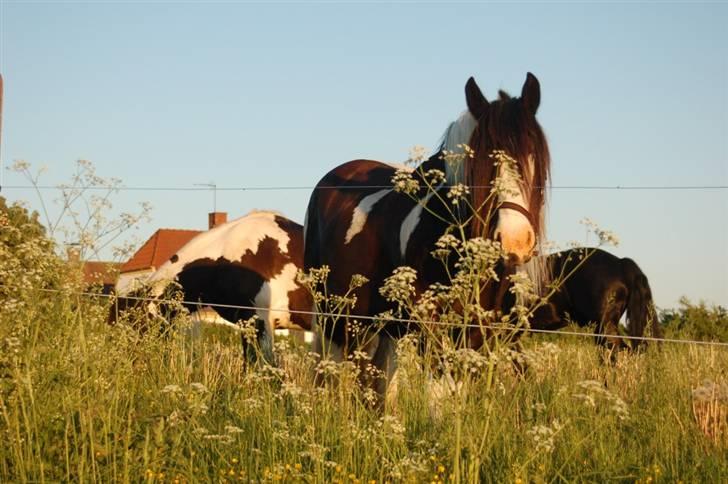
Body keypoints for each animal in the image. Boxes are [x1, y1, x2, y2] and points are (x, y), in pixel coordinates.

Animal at [302, 73, 552, 398]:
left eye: (534, 159)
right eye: (481, 167)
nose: (515, 240)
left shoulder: (479, 338)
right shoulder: (431, 333)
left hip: (382, 330)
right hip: (336, 319)